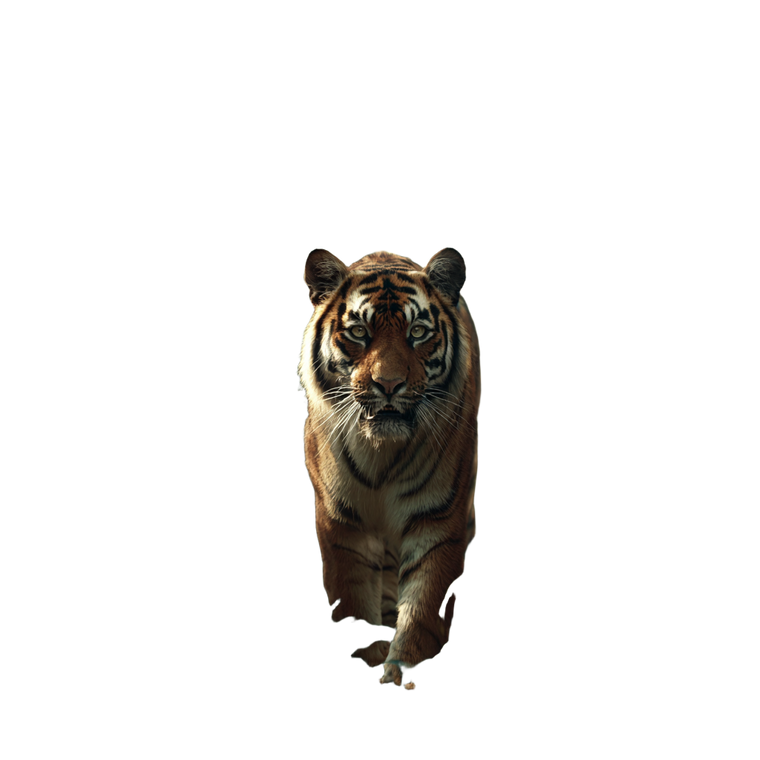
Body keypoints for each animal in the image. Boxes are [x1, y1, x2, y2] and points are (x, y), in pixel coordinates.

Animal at [295, 245, 484, 693]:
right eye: (359, 332)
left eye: (417, 331)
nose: (389, 385)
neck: (382, 453)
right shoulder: (342, 525)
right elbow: (351, 598)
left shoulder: (438, 522)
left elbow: (424, 604)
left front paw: (399, 669)